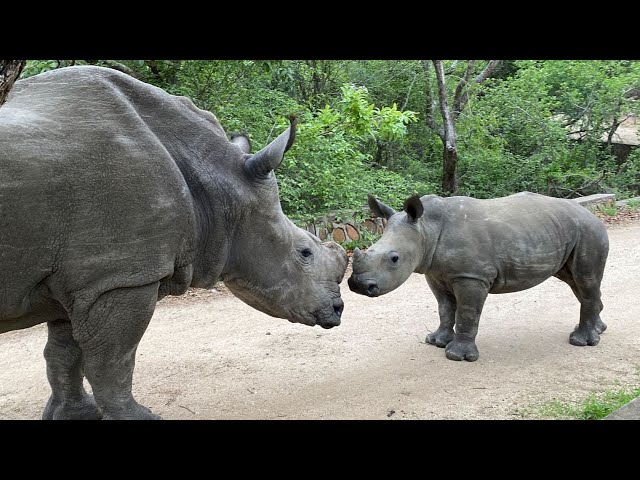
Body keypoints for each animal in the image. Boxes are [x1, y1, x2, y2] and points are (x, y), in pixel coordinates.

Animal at [1, 65, 350, 418]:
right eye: (304, 252)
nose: (338, 310)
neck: (217, 182)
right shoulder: (119, 277)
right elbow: (112, 360)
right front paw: (138, 417)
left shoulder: (83, 280)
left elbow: (63, 353)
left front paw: (75, 414)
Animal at [348, 191, 608, 360]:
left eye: (394, 258)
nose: (357, 285)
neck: (425, 230)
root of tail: (591, 214)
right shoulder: (436, 273)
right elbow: (445, 308)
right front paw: (436, 341)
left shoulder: (471, 276)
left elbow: (467, 313)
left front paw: (457, 355)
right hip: (564, 231)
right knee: (576, 281)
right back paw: (598, 330)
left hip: (589, 231)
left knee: (585, 279)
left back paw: (582, 341)